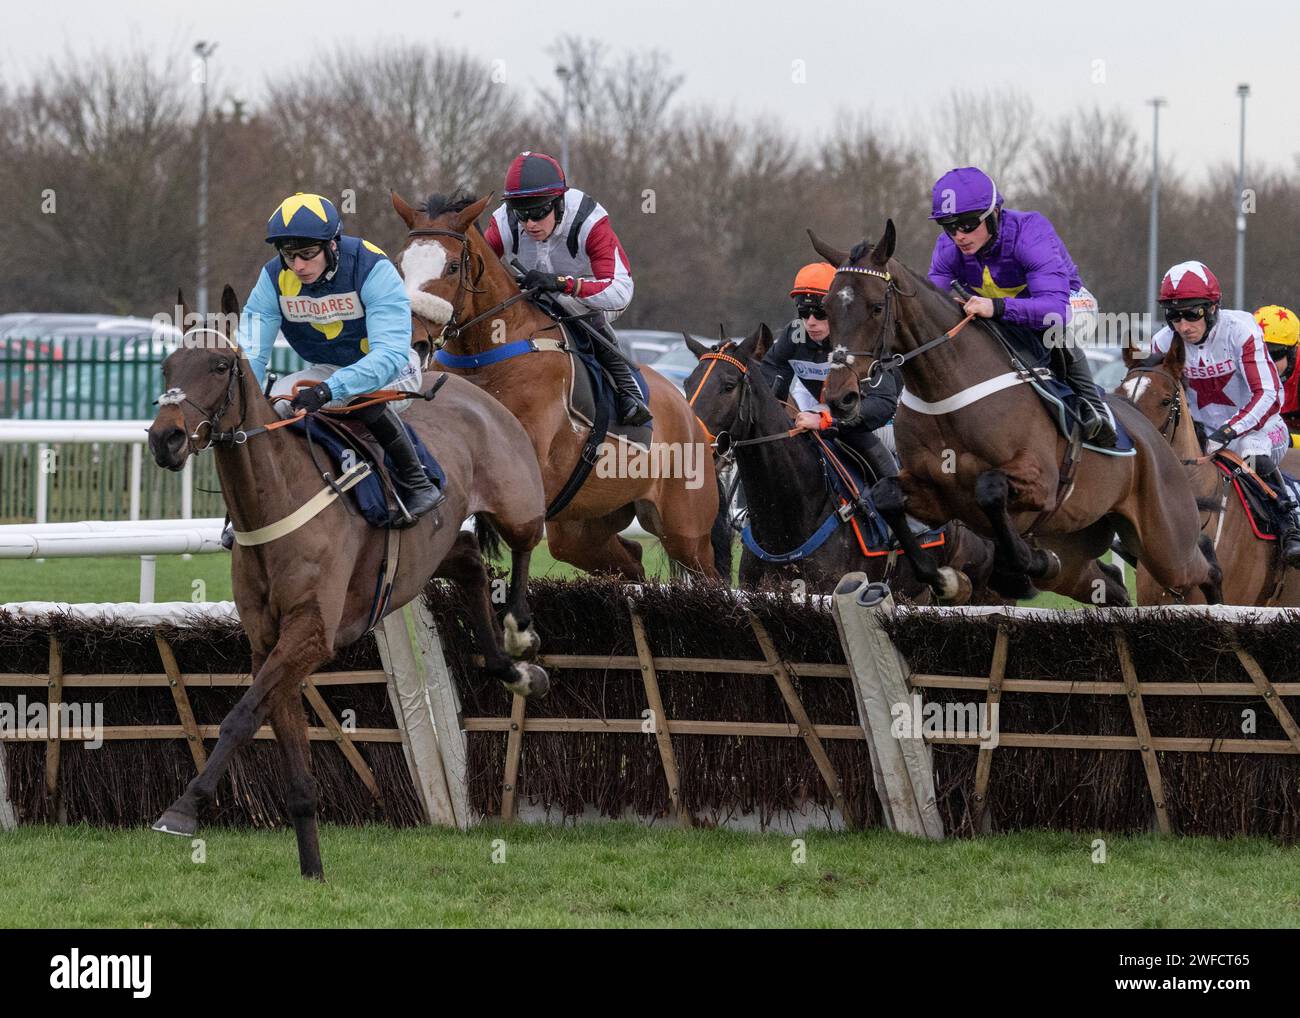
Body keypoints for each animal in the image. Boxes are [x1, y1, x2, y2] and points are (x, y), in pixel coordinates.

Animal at [149, 284, 551, 873]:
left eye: (221, 365)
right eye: (167, 366)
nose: (166, 439)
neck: (275, 503)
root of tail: (466, 387)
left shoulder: (312, 634)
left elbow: (241, 717)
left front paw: (184, 808)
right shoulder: (269, 641)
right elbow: (283, 745)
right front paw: (312, 871)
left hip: (517, 498)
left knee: (524, 542)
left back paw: (520, 635)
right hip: (432, 548)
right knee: (469, 560)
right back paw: (512, 668)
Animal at [390, 189, 728, 582]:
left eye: (452, 267)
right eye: (399, 264)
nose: (413, 339)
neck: (486, 355)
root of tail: (692, 418)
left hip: (686, 530)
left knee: (710, 575)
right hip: (581, 528)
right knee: (631, 559)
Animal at [811, 221, 1216, 605]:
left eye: (876, 307)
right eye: (827, 307)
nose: (840, 397)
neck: (945, 391)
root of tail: (1153, 437)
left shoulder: (1040, 482)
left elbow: (989, 489)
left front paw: (1024, 562)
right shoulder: (935, 495)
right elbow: (886, 496)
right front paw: (946, 576)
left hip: (1166, 542)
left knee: (1207, 566)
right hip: (1084, 540)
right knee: (1114, 581)